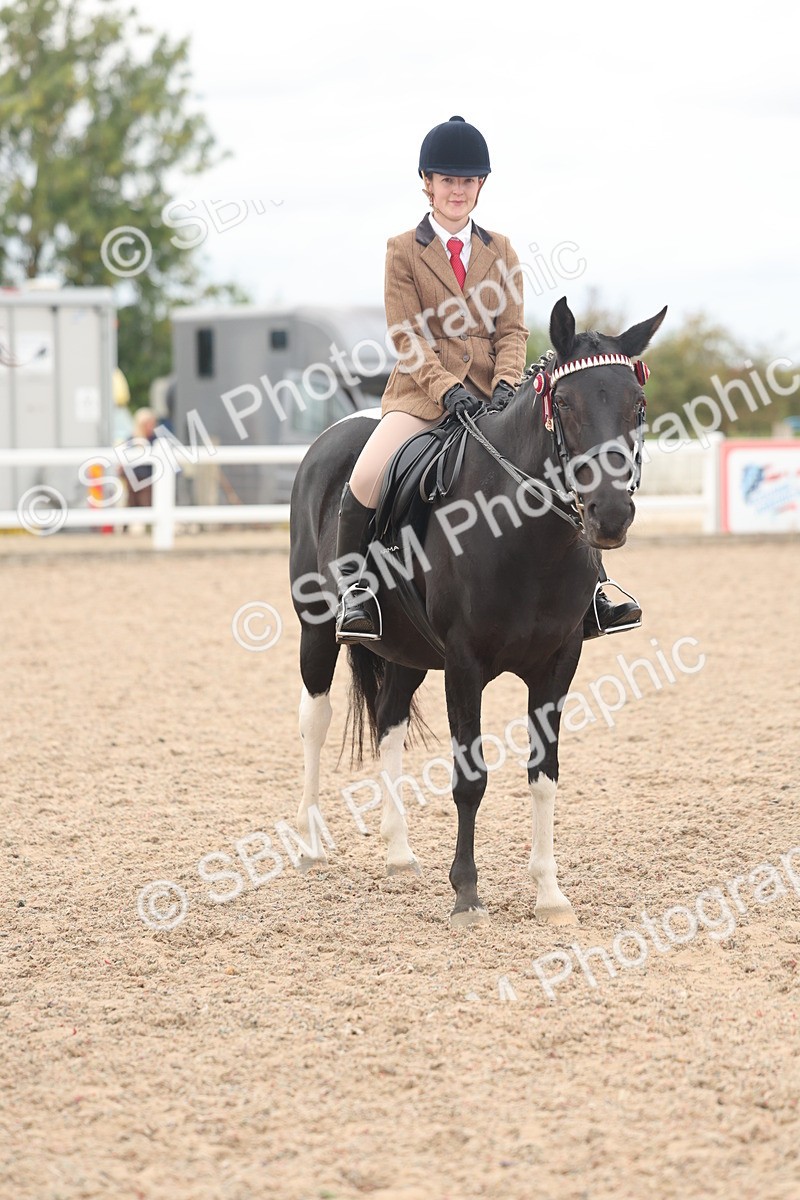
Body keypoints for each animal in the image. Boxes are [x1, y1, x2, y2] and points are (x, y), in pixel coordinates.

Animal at [288, 296, 667, 926]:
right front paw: (466, 892)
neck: (524, 536)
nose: (610, 515)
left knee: (389, 721)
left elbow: (544, 775)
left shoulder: (558, 663)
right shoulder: (464, 665)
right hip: (316, 629)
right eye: (565, 404)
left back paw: (398, 852)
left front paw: (549, 894)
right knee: (314, 721)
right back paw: (309, 846)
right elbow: (471, 778)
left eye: (637, 405)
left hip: (409, 651)